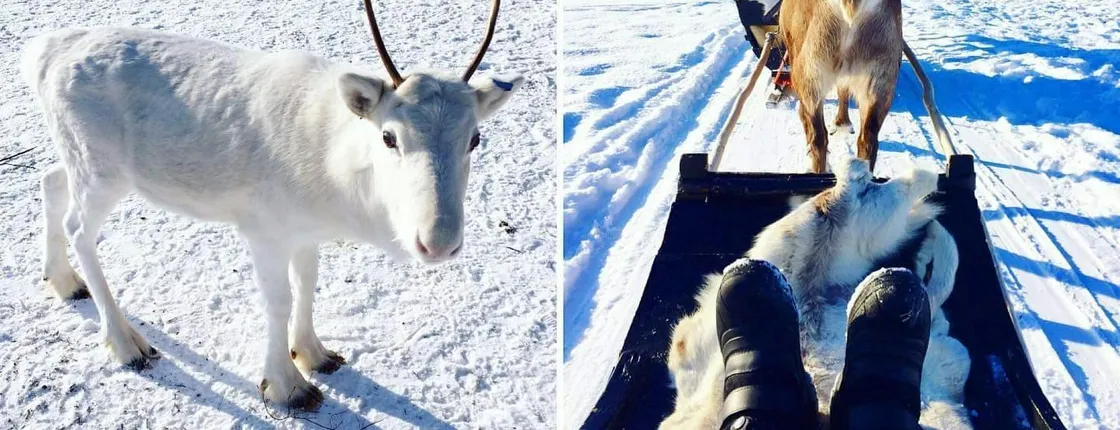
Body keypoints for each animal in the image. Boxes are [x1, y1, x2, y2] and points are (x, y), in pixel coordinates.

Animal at [21, 0, 522, 411]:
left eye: (475, 138)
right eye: (388, 136)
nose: (438, 243)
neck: (336, 159)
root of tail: (45, 51)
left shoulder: (306, 232)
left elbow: (308, 284)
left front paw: (315, 354)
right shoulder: (264, 231)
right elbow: (278, 301)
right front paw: (287, 386)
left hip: (81, 161)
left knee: (50, 181)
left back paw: (64, 282)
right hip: (103, 172)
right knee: (80, 229)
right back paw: (127, 343)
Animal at [779, 0, 903, 173]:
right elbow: (843, 91)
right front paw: (842, 122)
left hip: (810, 76)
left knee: (818, 139)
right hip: (879, 81)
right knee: (868, 140)